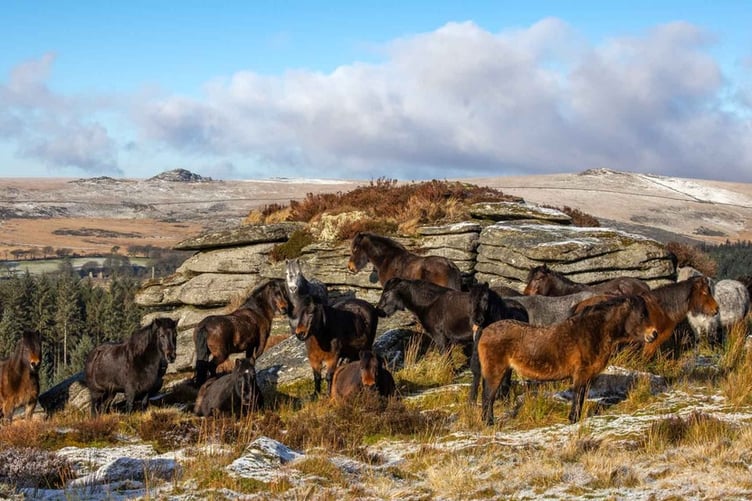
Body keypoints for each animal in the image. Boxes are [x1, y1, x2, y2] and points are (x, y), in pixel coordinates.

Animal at [476, 295, 660, 425]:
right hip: (495, 372)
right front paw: (573, 419)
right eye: (642, 315)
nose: (654, 334)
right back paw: (489, 423)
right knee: (488, 397)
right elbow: (577, 397)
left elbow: (581, 397)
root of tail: (485, 331)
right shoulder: (581, 374)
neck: (591, 331)